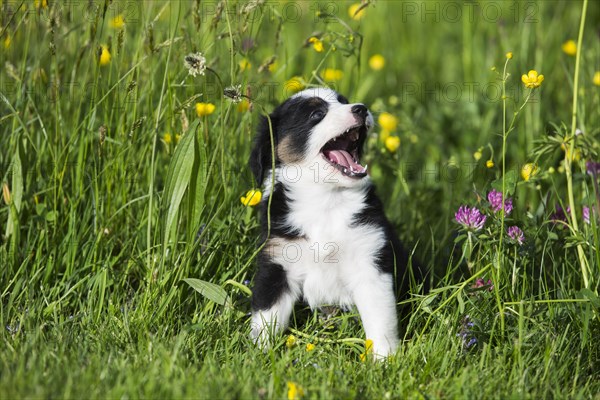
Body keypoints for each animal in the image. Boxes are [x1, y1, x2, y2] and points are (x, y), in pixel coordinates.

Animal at [248, 86, 418, 356]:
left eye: (343, 101)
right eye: (316, 114)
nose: (361, 108)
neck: (326, 199)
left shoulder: (370, 262)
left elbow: (380, 321)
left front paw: (385, 360)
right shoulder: (277, 263)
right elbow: (267, 317)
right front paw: (260, 354)